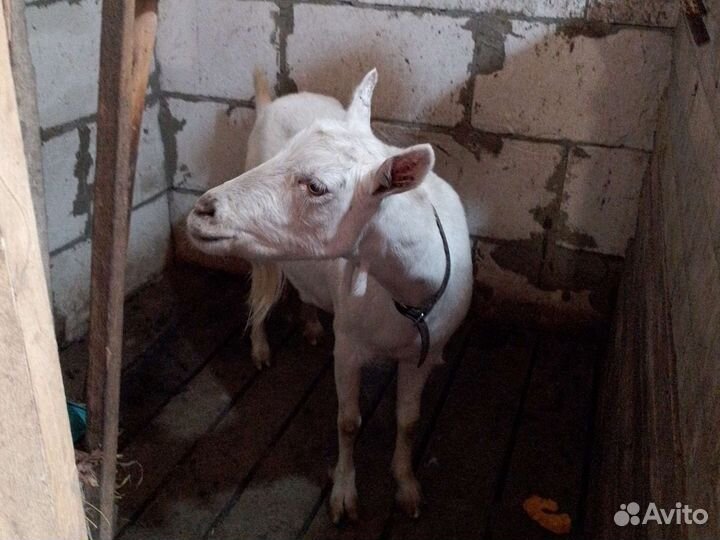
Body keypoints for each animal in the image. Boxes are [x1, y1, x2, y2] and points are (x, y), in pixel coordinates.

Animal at [187, 69, 473, 522]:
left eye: (317, 186)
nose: (203, 210)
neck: (405, 295)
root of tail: (269, 101)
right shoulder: (349, 347)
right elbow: (348, 422)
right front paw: (344, 493)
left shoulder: (424, 353)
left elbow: (409, 421)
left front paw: (407, 485)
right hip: (256, 249)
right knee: (258, 293)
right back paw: (260, 347)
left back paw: (309, 324)